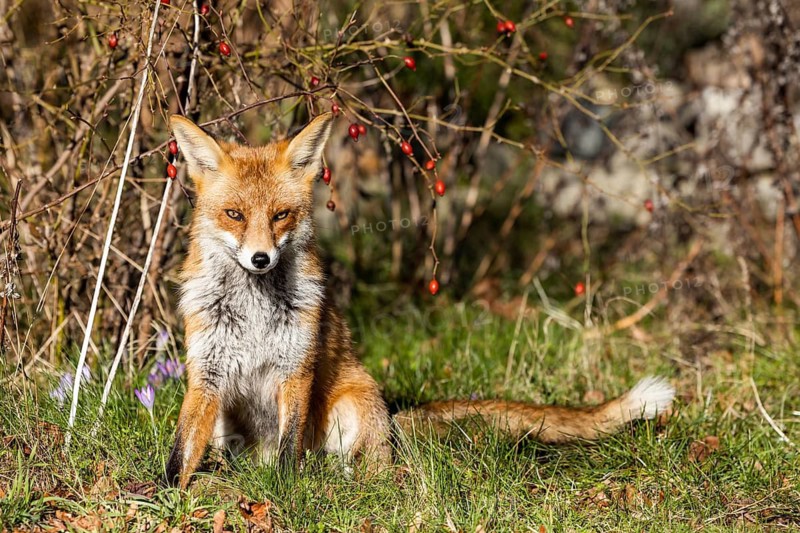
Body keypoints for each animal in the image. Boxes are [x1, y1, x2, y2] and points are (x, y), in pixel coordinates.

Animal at [165, 112, 675, 489]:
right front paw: (167, 497)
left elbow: (291, 451)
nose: (261, 258)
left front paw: (286, 491)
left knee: (369, 466)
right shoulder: (207, 372)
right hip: (230, 424)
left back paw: (339, 477)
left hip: (354, 405)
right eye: (234, 214)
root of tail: (392, 419)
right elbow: (182, 451)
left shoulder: (295, 368)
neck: (253, 309)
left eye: (280, 215)